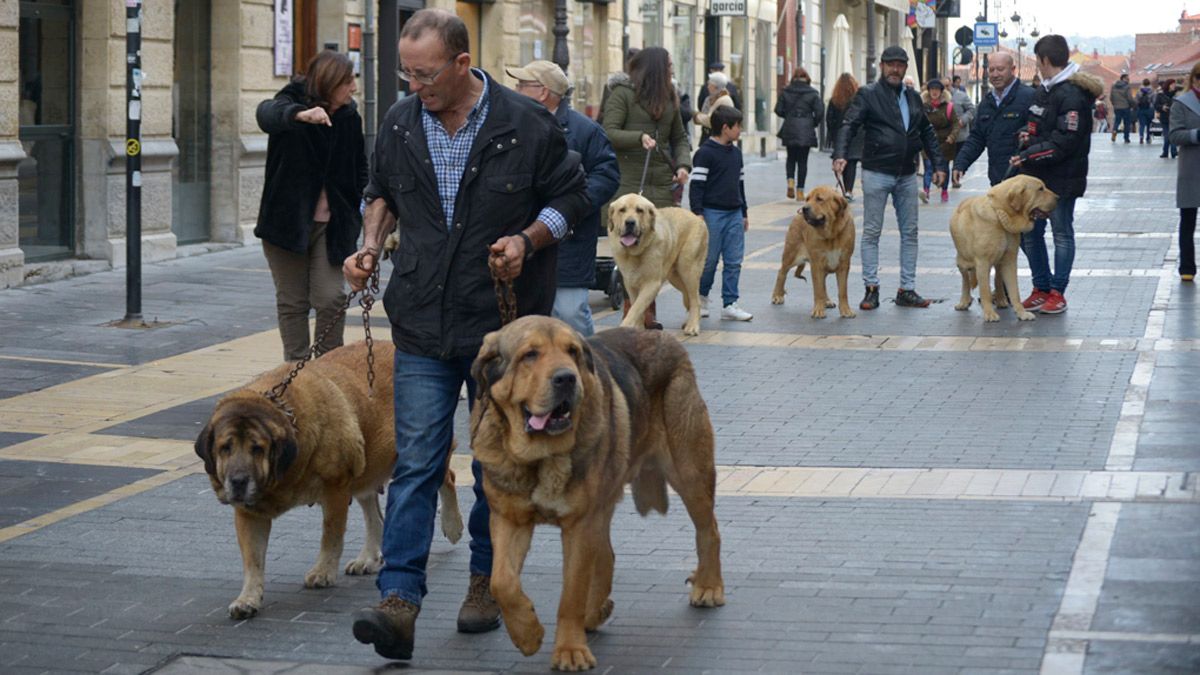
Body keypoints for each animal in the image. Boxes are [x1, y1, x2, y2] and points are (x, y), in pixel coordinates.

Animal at [194, 338, 460, 619]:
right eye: (225, 448)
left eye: (257, 449)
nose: (239, 481)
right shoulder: (249, 514)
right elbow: (252, 559)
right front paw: (247, 598)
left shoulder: (336, 489)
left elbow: (330, 535)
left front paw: (323, 571)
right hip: (366, 467)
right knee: (374, 516)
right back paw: (368, 558)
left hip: (416, 450)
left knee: (448, 478)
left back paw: (452, 524)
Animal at [472, 314, 724, 667]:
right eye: (529, 355)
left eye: (573, 351)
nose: (566, 378)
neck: (540, 457)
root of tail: (665, 339)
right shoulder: (509, 520)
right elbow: (502, 582)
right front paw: (528, 634)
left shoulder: (579, 526)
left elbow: (571, 594)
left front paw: (570, 649)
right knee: (607, 554)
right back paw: (597, 611)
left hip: (689, 470)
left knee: (709, 529)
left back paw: (709, 586)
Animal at [772, 183, 859, 317]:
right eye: (807, 199)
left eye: (819, 199)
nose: (804, 208)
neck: (831, 234)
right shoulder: (816, 263)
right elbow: (818, 290)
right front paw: (818, 310)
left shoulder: (844, 264)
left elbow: (842, 291)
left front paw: (846, 310)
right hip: (792, 255)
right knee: (781, 272)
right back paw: (777, 295)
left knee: (823, 284)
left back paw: (827, 301)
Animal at [950, 172, 1056, 319]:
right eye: (1040, 189)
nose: (1058, 198)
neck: (1000, 214)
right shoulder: (982, 262)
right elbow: (984, 290)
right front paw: (989, 313)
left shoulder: (1010, 260)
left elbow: (1014, 290)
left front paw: (1022, 313)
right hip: (962, 261)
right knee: (966, 280)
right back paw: (964, 301)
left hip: (999, 261)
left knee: (998, 278)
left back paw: (1001, 299)